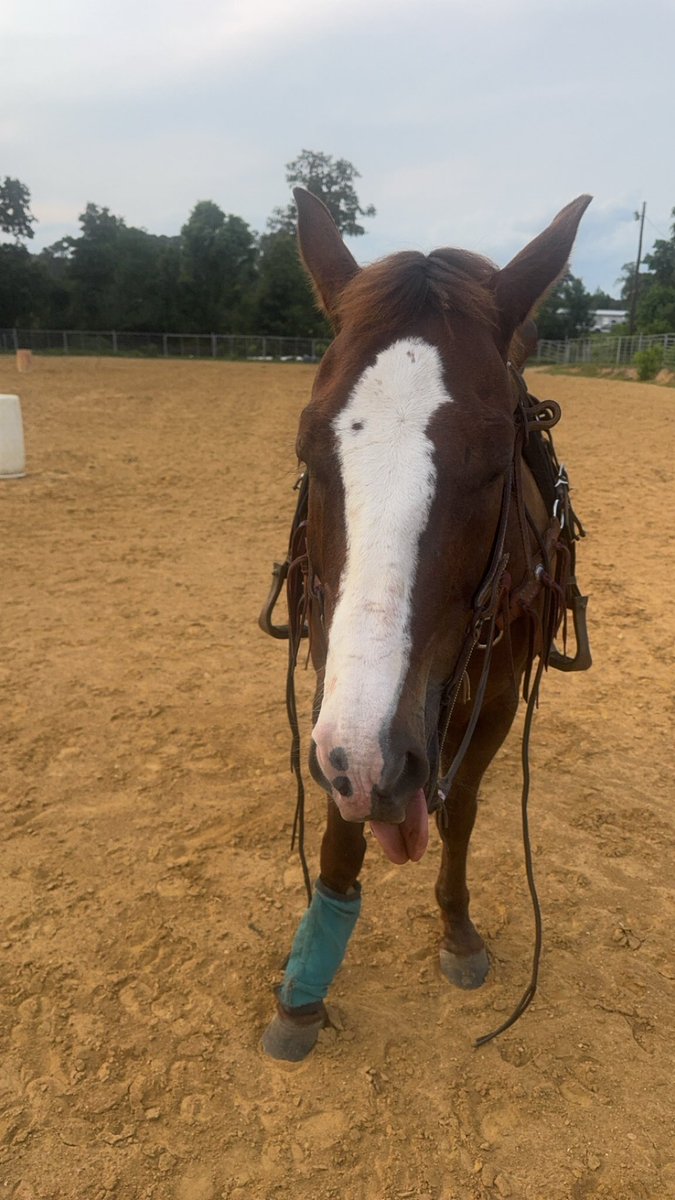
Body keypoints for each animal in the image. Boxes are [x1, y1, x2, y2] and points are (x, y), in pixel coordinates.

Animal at [260, 187, 592, 1061]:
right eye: (309, 449)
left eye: (492, 459)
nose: (378, 759)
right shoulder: (335, 683)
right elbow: (340, 827)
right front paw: (303, 995)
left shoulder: (494, 695)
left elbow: (464, 809)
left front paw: (457, 931)